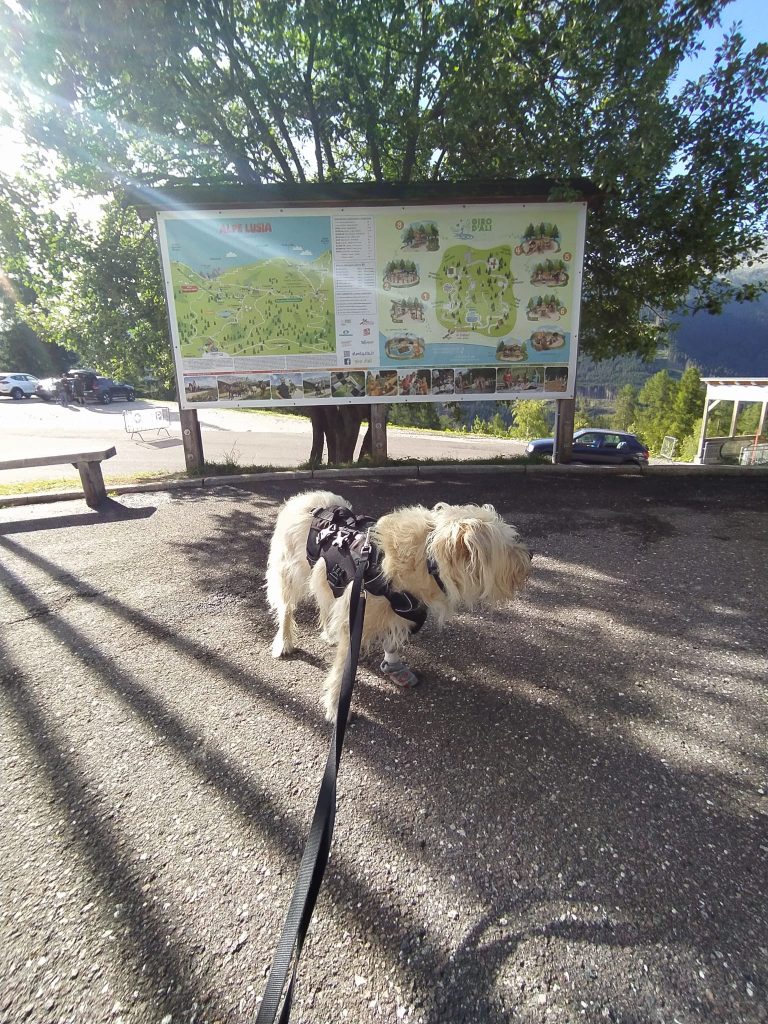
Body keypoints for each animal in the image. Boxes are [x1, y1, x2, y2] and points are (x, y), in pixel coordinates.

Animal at [268, 489, 532, 720]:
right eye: (507, 546)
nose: (530, 556)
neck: (427, 559)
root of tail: (305, 498)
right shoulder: (358, 615)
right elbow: (342, 670)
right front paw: (335, 708)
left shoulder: (399, 610)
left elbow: (392, 640)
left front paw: (394, 667)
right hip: (288, 573)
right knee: (286, 609)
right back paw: (284, 642)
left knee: (324, 602)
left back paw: (328, 633)